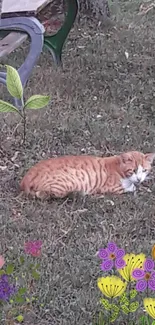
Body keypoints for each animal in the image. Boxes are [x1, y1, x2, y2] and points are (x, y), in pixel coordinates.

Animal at [20, 151, 154, 199]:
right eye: (133, 170)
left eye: (144, 170)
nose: (139, 178)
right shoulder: (110, 187)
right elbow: (130, 188)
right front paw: (135, 187)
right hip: (65, 184)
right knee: (42, 195)